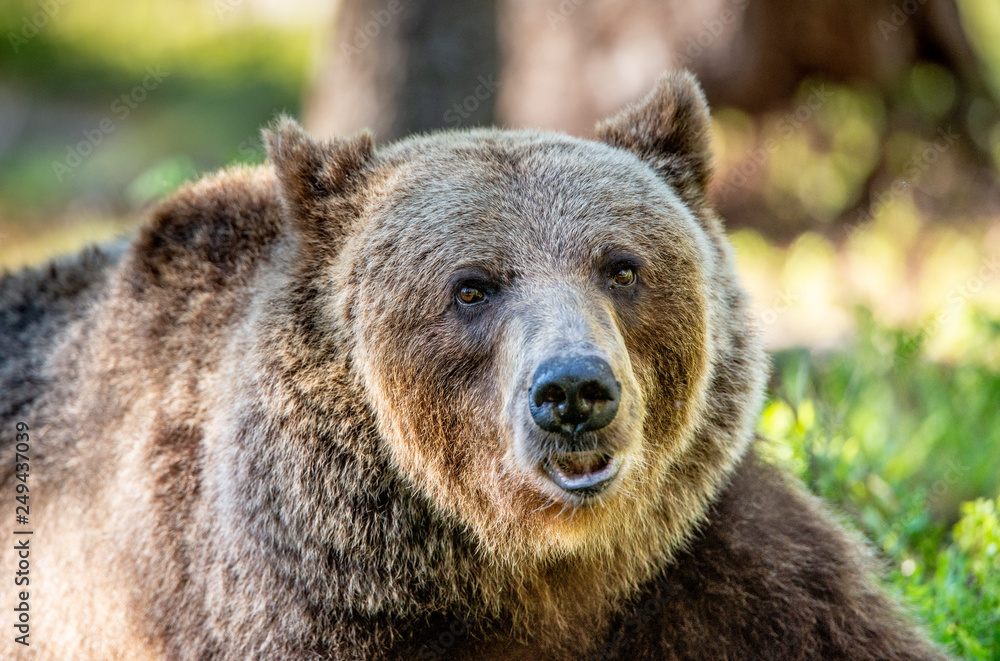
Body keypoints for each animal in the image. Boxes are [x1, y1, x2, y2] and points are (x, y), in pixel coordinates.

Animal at [0, 71, 950, 660]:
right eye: (471, 286)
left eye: (621, 265)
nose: (573, 391)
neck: (532, 569)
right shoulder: (297, 601)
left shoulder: (719, 566)